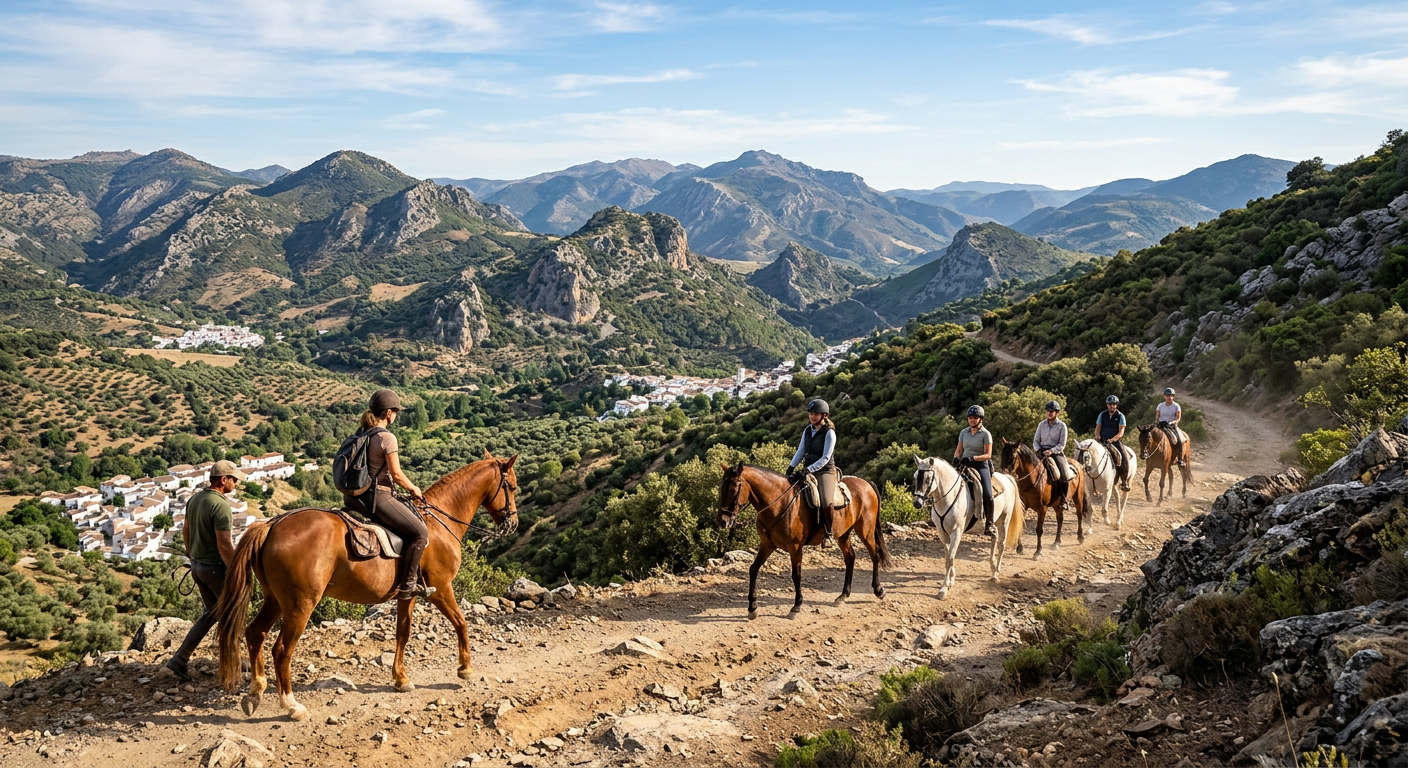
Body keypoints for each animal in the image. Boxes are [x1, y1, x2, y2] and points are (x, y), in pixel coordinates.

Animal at [214, 451, 519, 721]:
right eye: (512, 487)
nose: (513, 523)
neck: (438, 524)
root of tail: (272, 525)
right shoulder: (441, 588)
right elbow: (461, 622)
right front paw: (465, 668)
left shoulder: (407, 595)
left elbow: (402, 633)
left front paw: (401, 678)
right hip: (300, 604)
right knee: (281, 650)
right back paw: (292, 705)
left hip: (275, 600)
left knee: (255, 633)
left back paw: (255, 692)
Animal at [717, 464, 889, 618]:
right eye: (721, 488)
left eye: (734, 488)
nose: (723, 521)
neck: (780, 504)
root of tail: (866, 483)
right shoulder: (767, 545)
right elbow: (753, 569)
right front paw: (752, 607)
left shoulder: (795, 548)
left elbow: (796, 575)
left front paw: (796, 606)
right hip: (843, 535)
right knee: (850, 558)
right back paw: (843, 595)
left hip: (865, 531)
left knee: (875, 554)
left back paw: (878, 590)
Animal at [911, 456, 1023, 599]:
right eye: (915, 478)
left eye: (927, 479)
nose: (917, 503)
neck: (950, 496)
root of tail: (1007, 477)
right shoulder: (942, 533)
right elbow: (948, 557)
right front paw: (951, 581)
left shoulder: (956, 532)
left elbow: (950, 559)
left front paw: (943, 589)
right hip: (994, 523)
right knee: (994, 537)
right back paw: (992, 567)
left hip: (1004, 520)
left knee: (1001, 544)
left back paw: (996, 574)